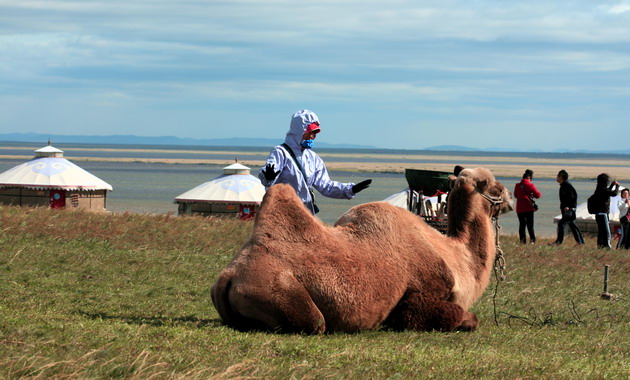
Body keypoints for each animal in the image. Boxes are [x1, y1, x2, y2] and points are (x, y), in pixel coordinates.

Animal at [212, 168, 512, 332]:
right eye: (497, 186)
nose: (511, 199)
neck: (456, 257)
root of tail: (229, 276)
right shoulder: (418, 298)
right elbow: (466, 317)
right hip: (285, 295)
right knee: (315, 322)